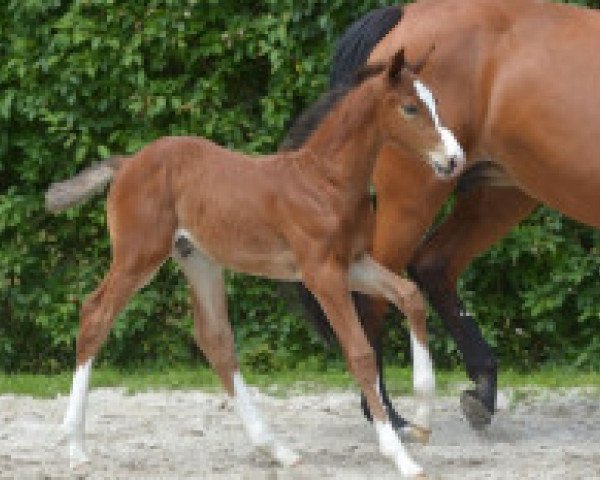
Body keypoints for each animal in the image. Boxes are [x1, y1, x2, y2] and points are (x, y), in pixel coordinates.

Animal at [48, 48, 464, 476]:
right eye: (411, 108)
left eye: (434, 101)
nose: (453, 160)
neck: (325, 181)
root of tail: (127, 162)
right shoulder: (321, 274)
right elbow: (361, 355)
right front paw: (400, 457)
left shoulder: (353, 264)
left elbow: (410, 295)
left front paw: (421, 423)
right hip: (138, 255)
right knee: (95, 315)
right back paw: (76, 449)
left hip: (199, 260)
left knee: (216, 340)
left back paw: (277, 449)